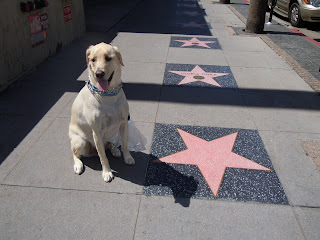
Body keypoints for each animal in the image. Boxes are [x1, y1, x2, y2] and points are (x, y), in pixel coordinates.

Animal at [69, 43, 134, 182]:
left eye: (108, 58)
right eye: (93, 59)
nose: (99, 73)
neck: (108, 95)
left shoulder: (123, 123)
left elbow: (125, 144)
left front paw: (128, 157)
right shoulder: (97, 131)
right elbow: (103, 157)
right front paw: (107, 172)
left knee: (109, 144)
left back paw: (114, 149)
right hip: (80, 141)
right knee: (75, 153)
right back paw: (78, 165)